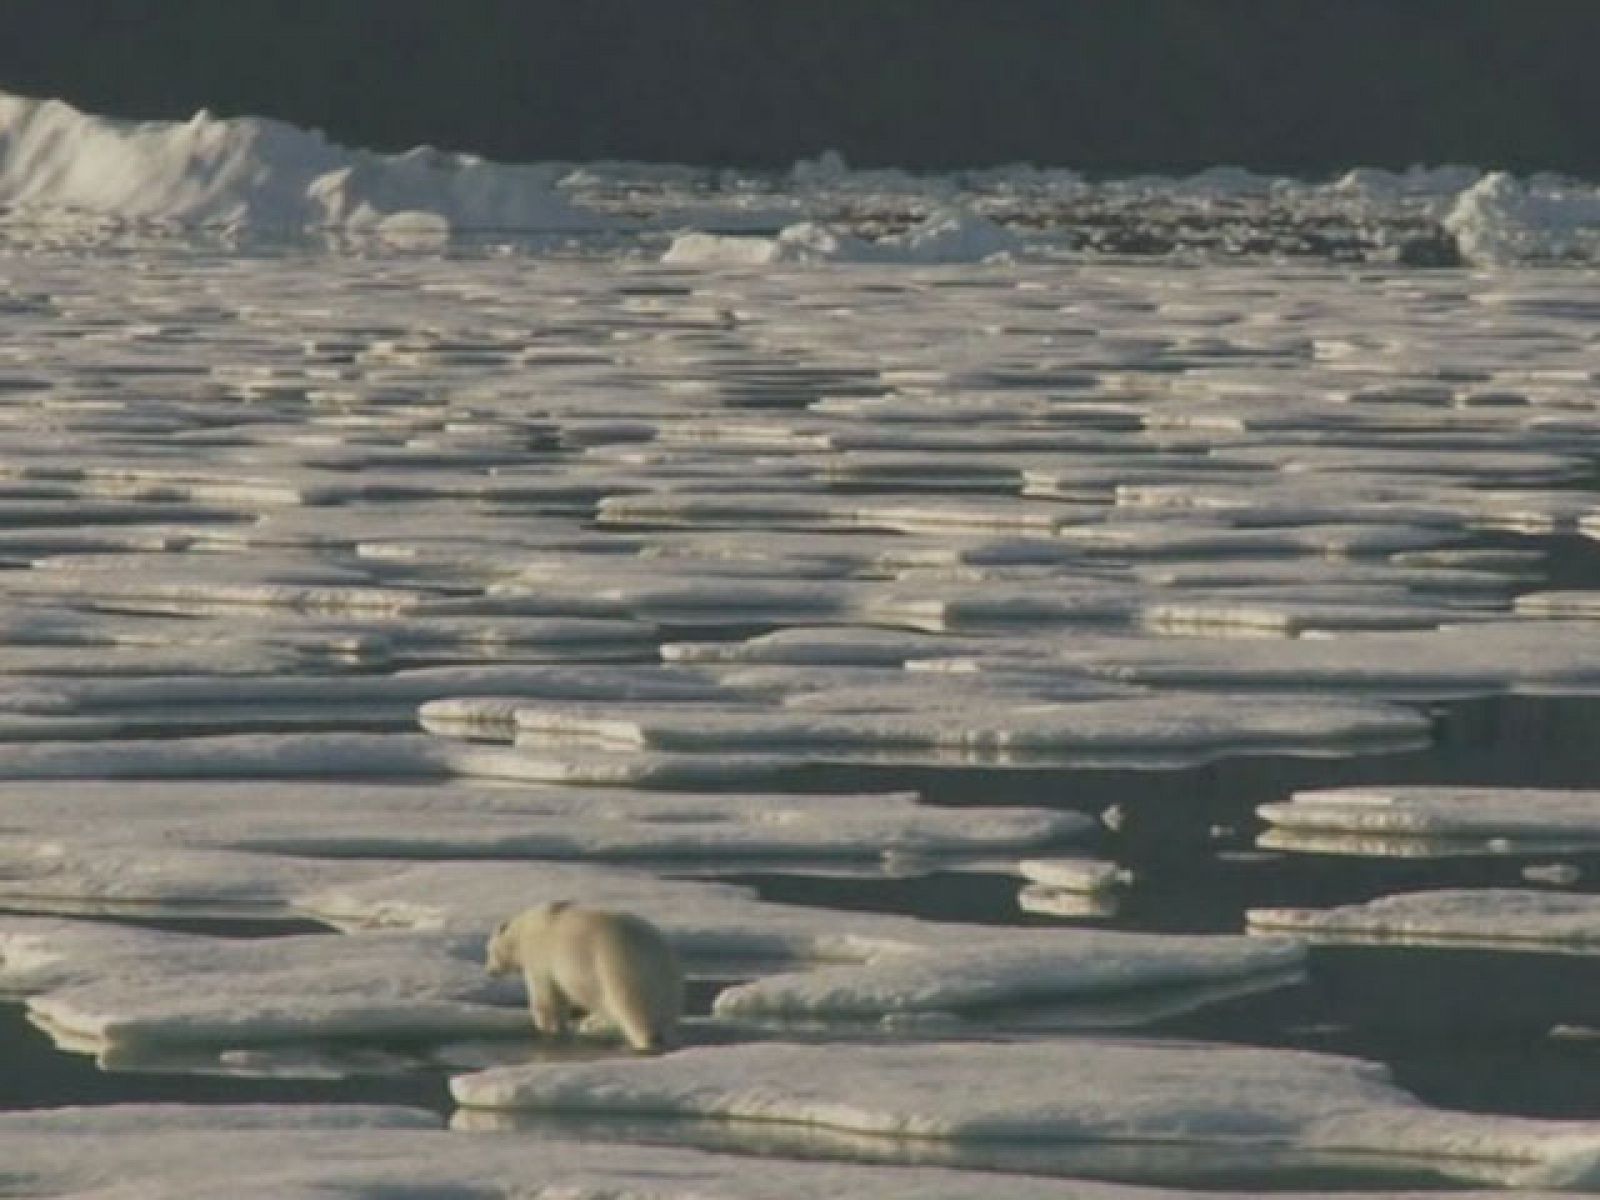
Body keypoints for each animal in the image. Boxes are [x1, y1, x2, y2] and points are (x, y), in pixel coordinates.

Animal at [486, 902, 688, 1049]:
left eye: (488, 950)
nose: (489, 971)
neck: (523, 931)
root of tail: (654, 953)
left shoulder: (540, 957)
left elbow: (547, 999)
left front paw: (551, 1028)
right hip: (668, 984)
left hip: (618, 966)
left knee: (630, 1010)